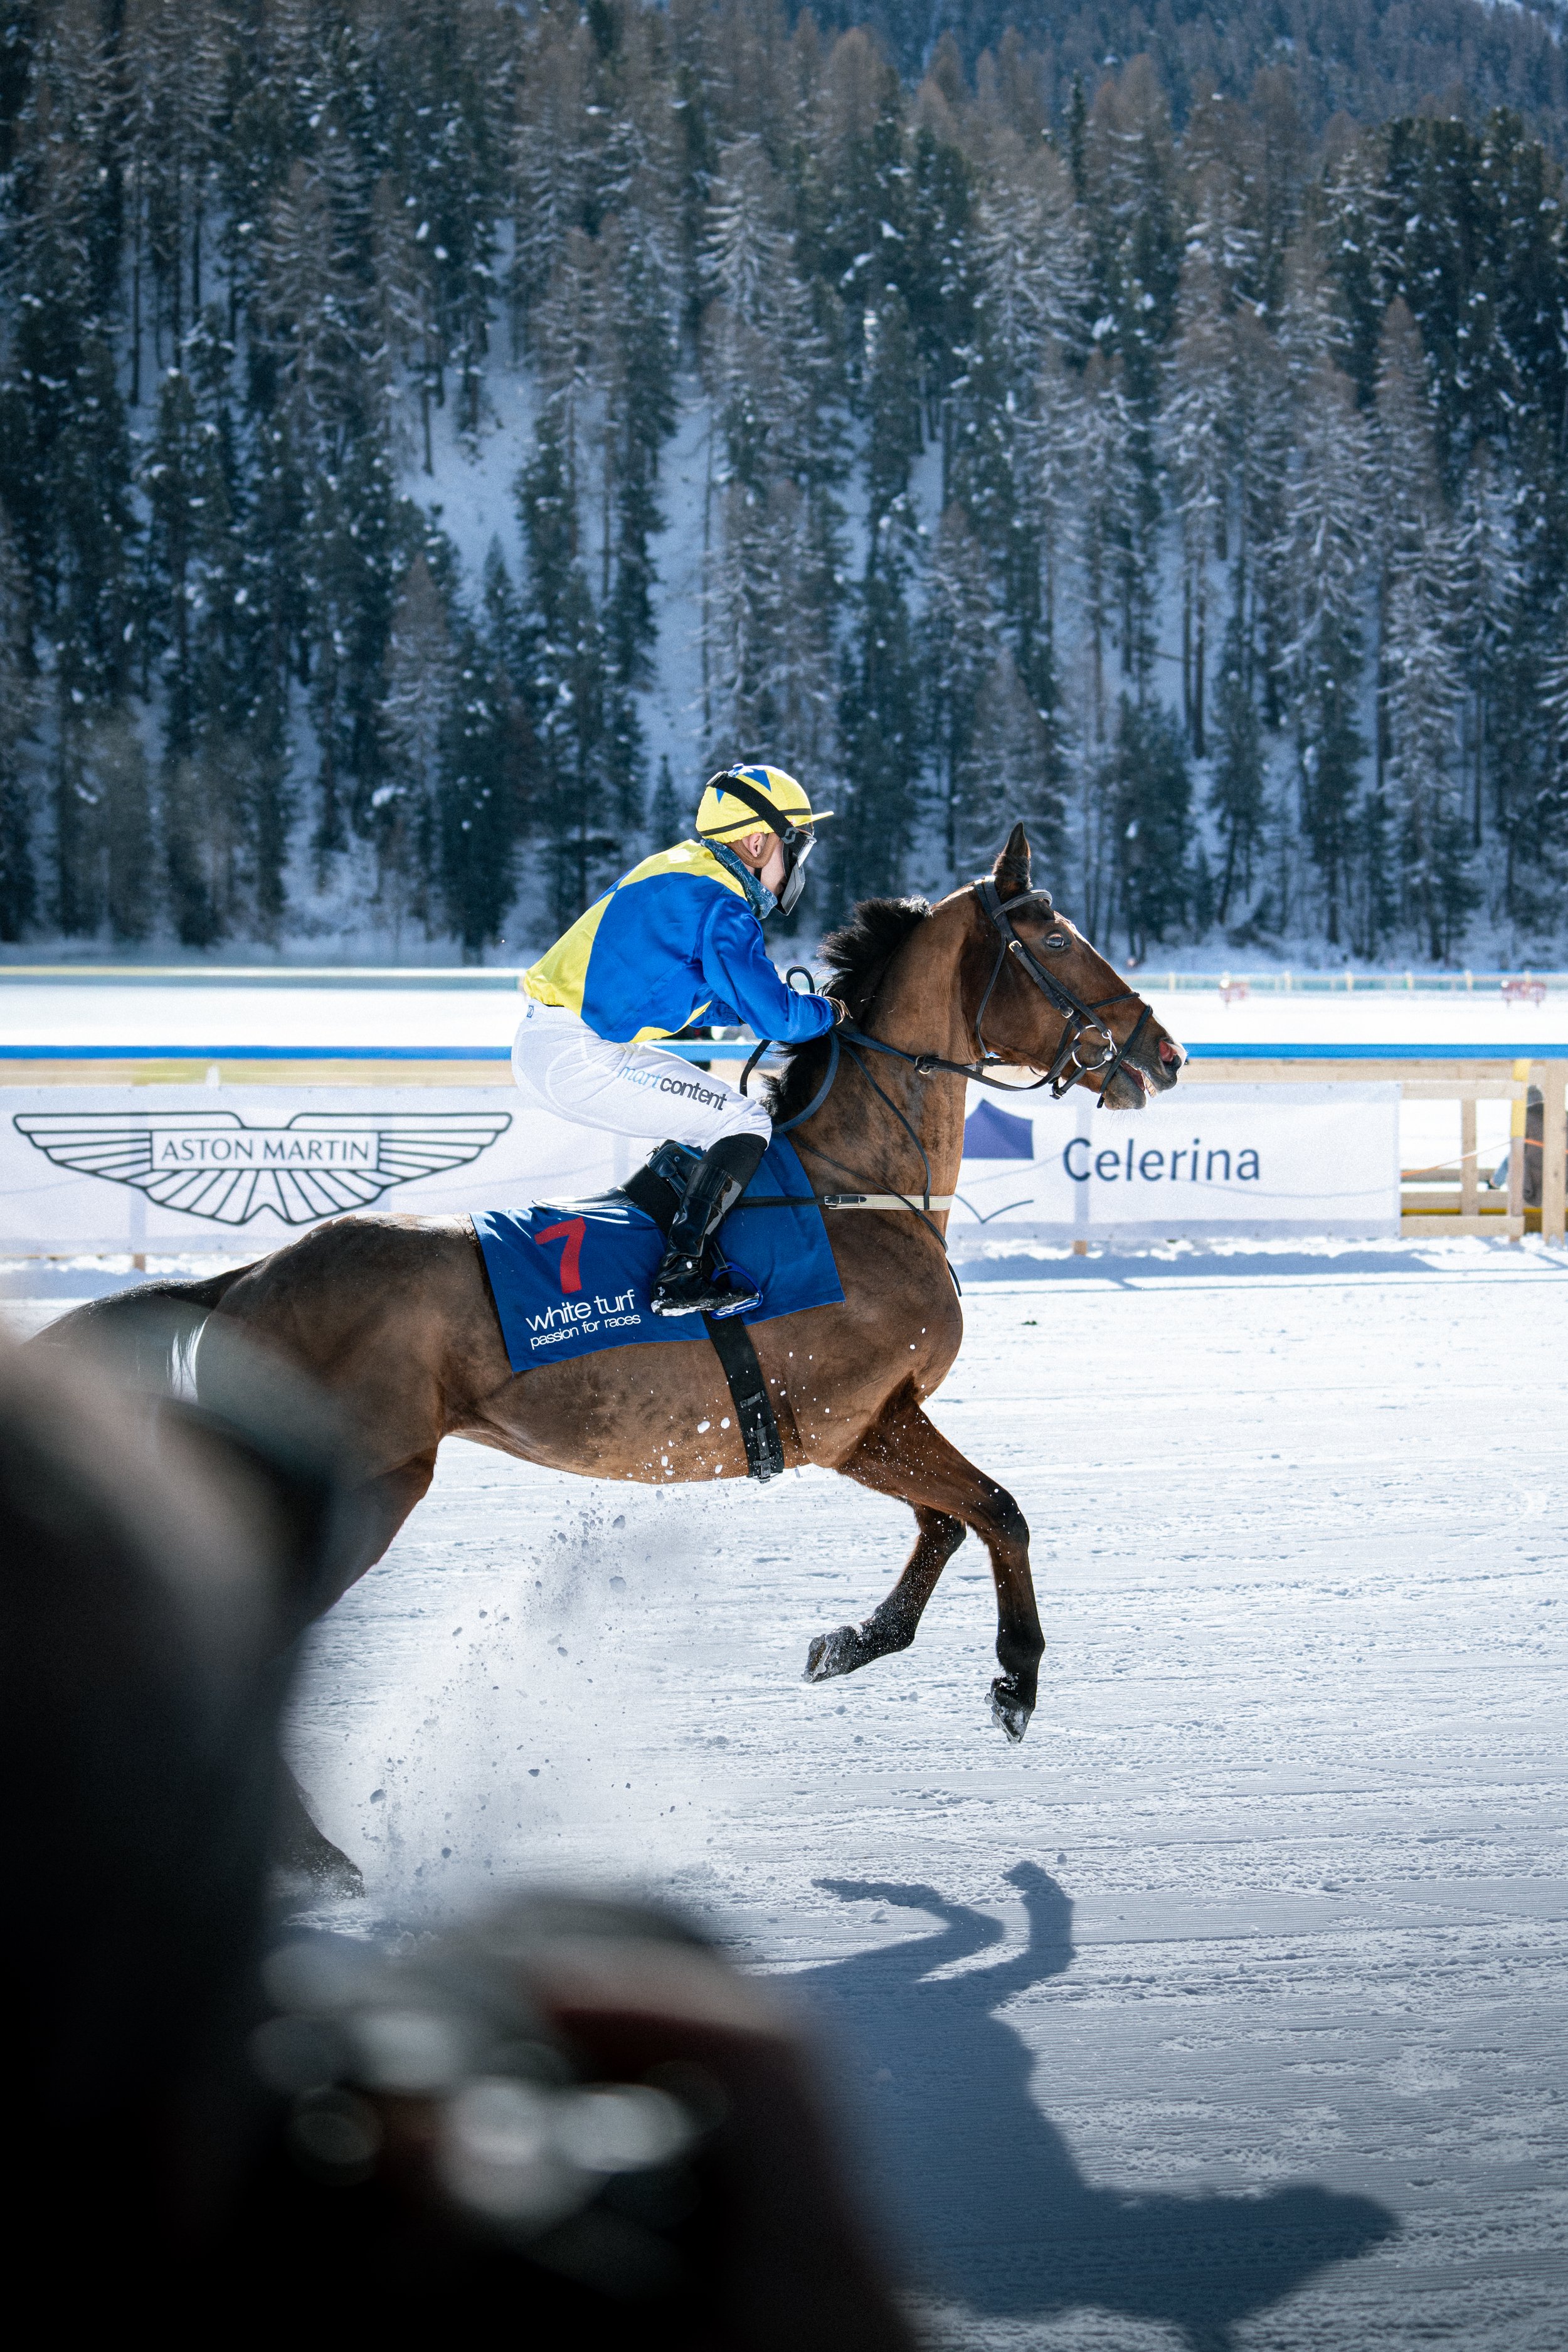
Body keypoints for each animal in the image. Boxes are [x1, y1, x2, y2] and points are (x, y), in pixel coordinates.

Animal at [42, 825, 1183, 1837]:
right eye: (1057, 938)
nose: (1163, 1053)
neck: (854, 1190)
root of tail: (244, 1282)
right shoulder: (850, 1421)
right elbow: (997, 1510)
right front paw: (1016, 1679)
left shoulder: (871, 1422)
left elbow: (950, 1523)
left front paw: (852, 1640)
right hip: (355, 1488)